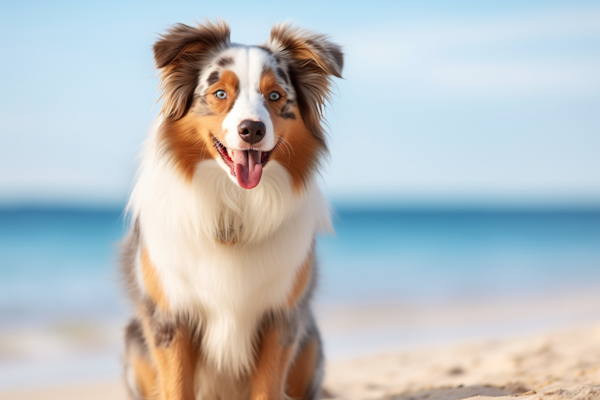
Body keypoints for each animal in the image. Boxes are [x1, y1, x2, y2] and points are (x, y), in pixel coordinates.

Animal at [119, 19, 342, 400]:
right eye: (221, 94)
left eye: (275, 96)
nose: (252, 129)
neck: (235, 206)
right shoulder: (171, 316)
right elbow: (177, 386)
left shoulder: (281, 316)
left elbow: (268, 388)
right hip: (134, 339)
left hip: (310, 342)